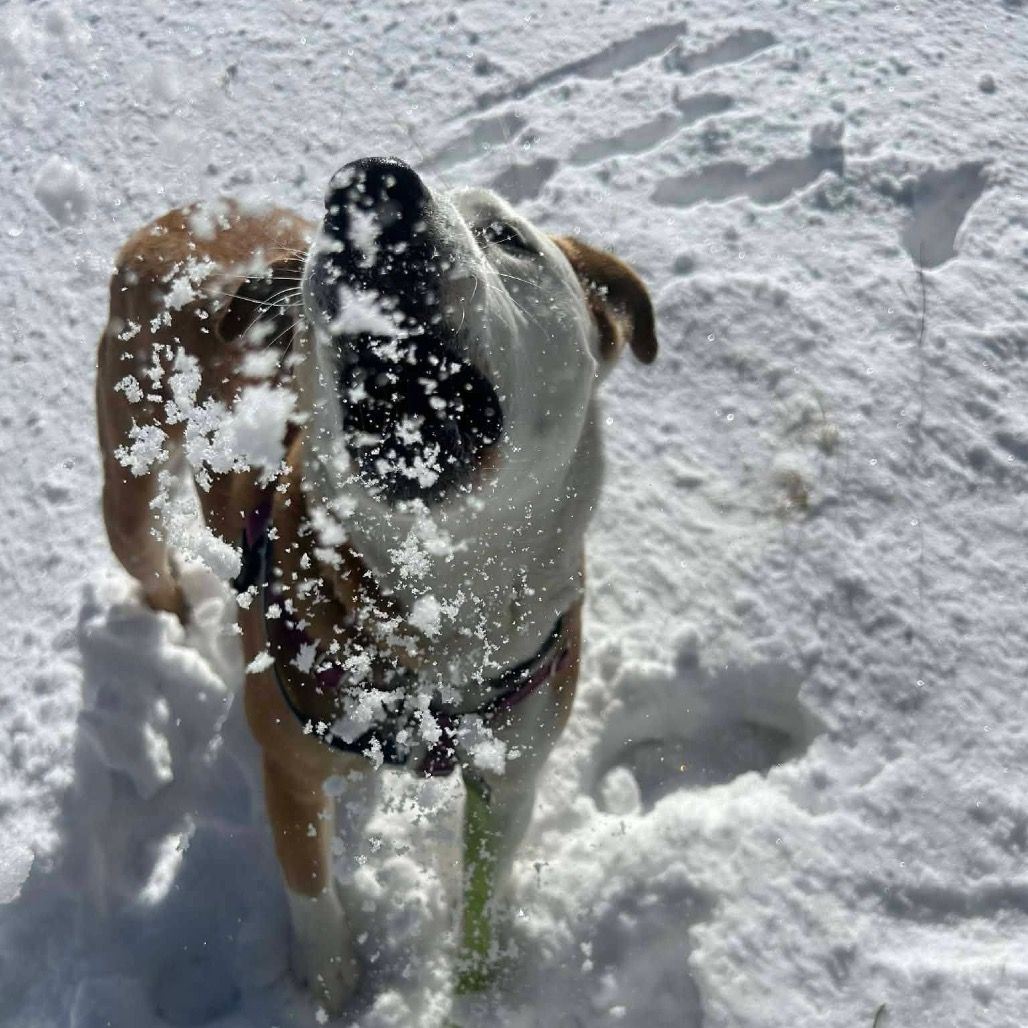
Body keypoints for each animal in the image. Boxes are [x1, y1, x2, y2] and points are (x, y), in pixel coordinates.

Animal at [95, 156, 657, 1016]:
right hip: (128, 480)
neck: (438, 595)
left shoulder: (510, 776)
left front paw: (475, 987)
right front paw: (327, 976)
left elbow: (483, 892)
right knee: (150, 563)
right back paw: (183, 629)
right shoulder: (288, 766)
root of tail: (175, 218)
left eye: (507, 237)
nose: (370, 187)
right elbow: (306, 876)